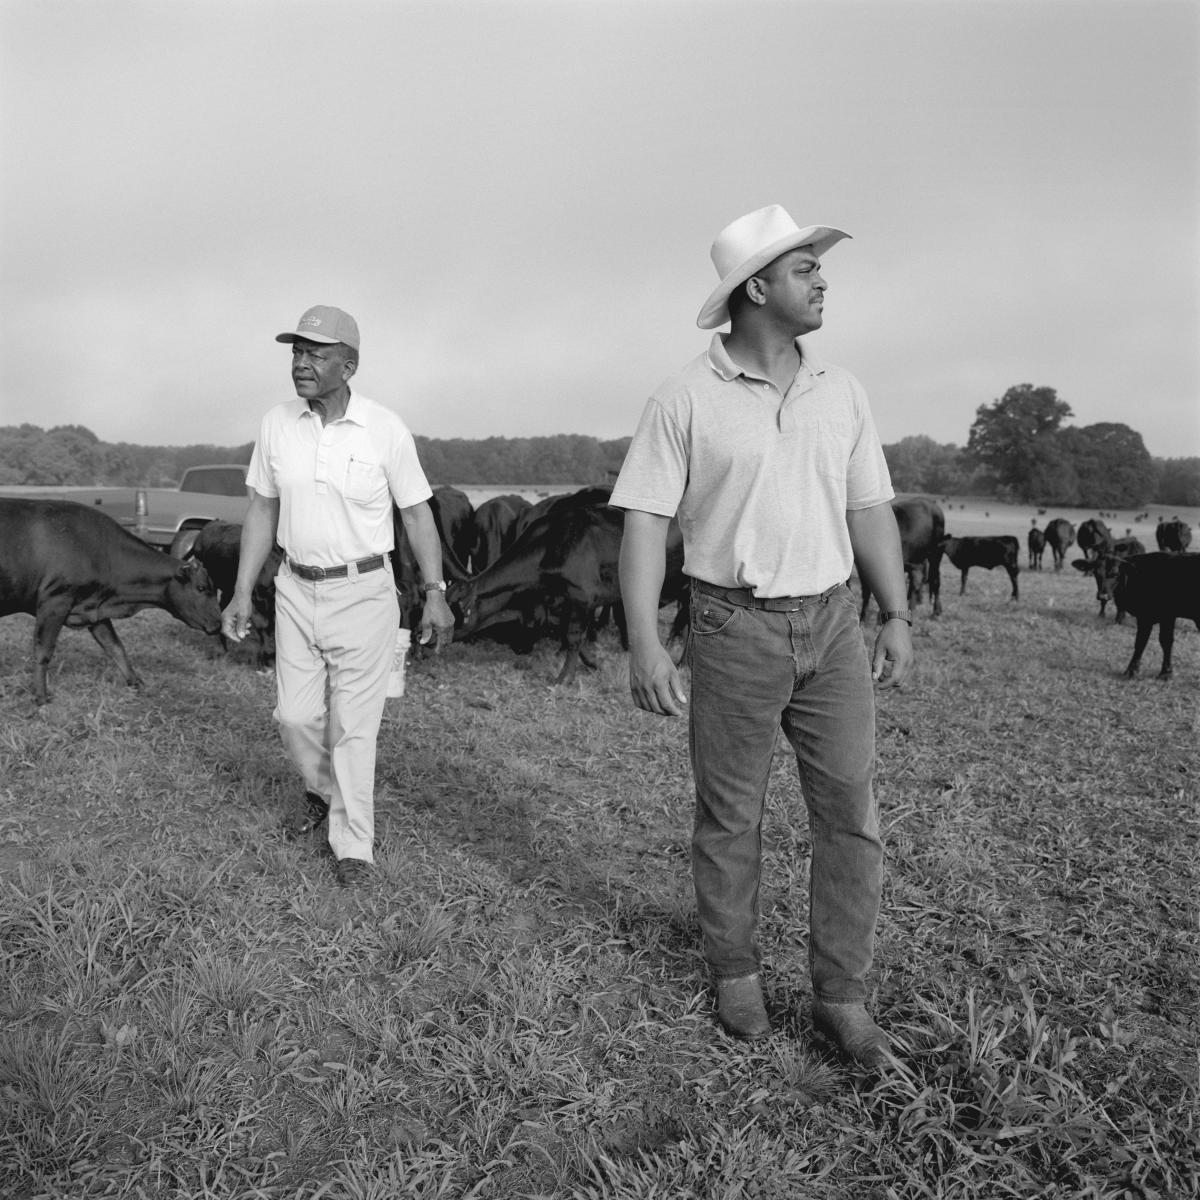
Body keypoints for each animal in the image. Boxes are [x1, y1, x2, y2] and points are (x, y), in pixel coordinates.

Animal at [0, 499, 223, 700]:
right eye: (201, 588)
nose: (218, 624)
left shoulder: (94, 609)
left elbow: (116, 647)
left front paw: (138, 684)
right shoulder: (54, 603)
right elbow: (43, 651)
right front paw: (40, 696)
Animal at [1108, 549, 1195, 681]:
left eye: (1114, 574)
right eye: (1096, 573)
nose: (1103, 595)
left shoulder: (1148, 617)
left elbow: (1143, 641)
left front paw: (1133, 670)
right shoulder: (1167, 617)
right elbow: (1165, 641)